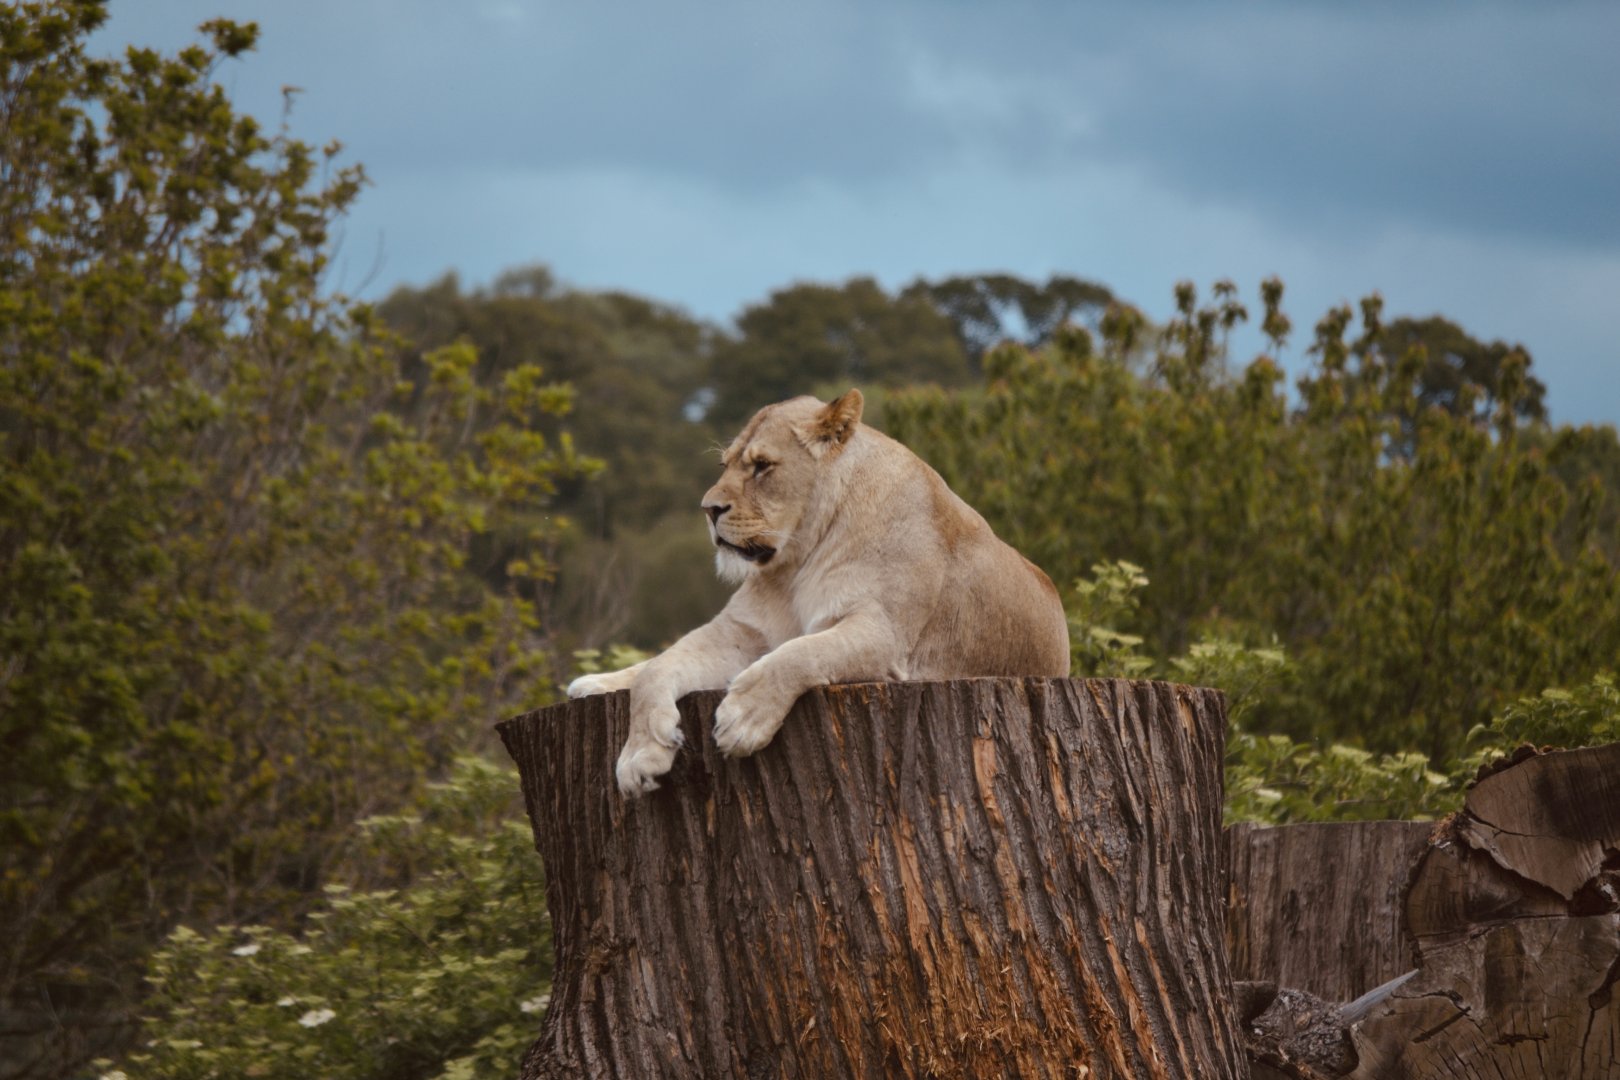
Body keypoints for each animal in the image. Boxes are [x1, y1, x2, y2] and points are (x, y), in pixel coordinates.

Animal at [568, 389, 1070, 796]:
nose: (708, 509)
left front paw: (743, 716)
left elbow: (802, 653)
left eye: (762, 466)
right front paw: (639, 759)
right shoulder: (743, 631)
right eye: (724, 465)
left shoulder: (885, 636)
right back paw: (590, 685)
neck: (798, 558)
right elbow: (658, 670)